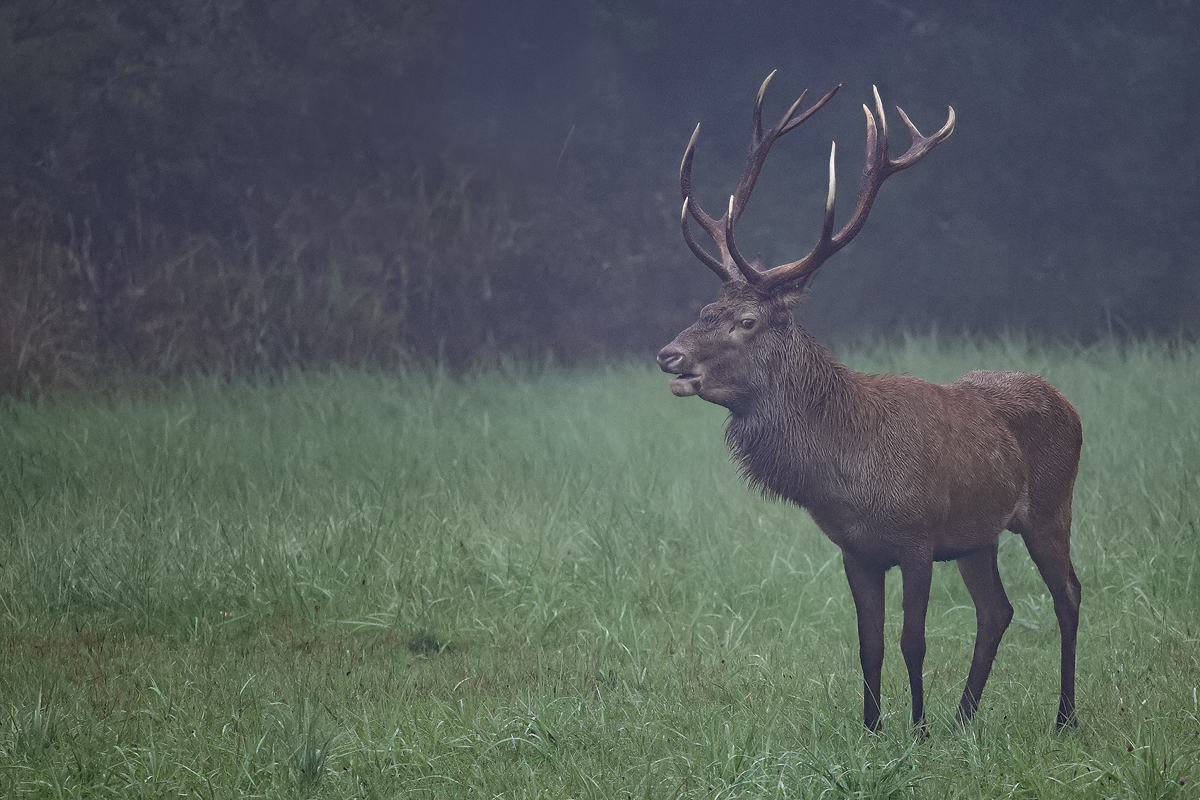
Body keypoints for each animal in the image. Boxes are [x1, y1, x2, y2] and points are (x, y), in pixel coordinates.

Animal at [662, 71, 1084, 734]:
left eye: (747, 321)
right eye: (706, 309)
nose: (669, 355)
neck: (846, 474)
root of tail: (1068, 404)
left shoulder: (917, 538)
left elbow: (914, 640)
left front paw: (917, 730)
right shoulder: (856, 550)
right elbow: (870, 643)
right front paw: (873, 728)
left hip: (1049, 508)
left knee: (1068, 594)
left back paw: (1063, 716)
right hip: (979, 537)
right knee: (999, 611)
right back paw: (965, 719)